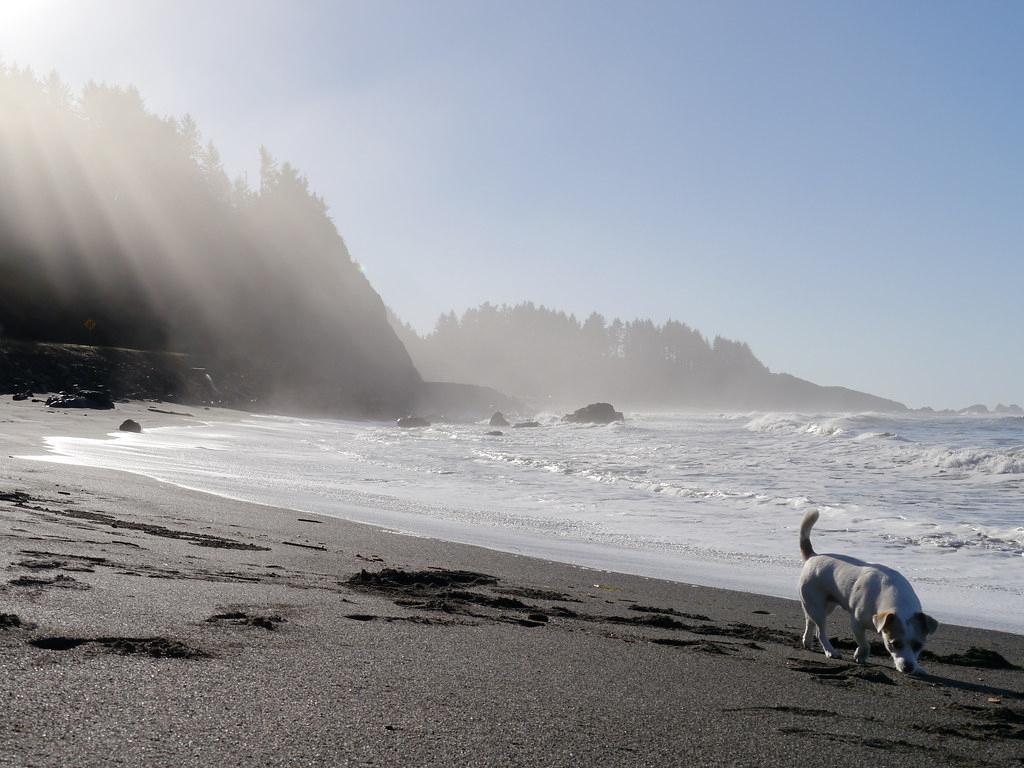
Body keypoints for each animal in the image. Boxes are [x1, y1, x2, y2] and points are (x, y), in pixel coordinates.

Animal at [798, 512, 937, 671]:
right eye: (894, 644)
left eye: (918, 646)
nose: (908, 667)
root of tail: (813, 556)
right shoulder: (856, 624)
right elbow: (864, 644)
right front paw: (860, 655)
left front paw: (919, 668)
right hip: (817, 606)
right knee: (820, 631)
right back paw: (830, 651)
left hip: (825, 606)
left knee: (810, 621)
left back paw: (807, 641)